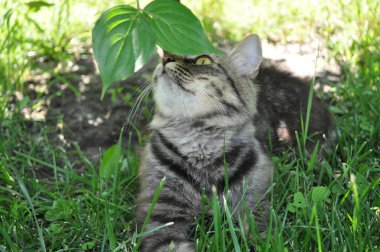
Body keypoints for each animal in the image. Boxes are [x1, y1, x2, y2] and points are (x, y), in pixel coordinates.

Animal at [135, 34, 334, 251]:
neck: (200, 145)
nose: (165, 59)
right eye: (166, 53)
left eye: (202, 60)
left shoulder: (254, 202)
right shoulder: (161, 215)